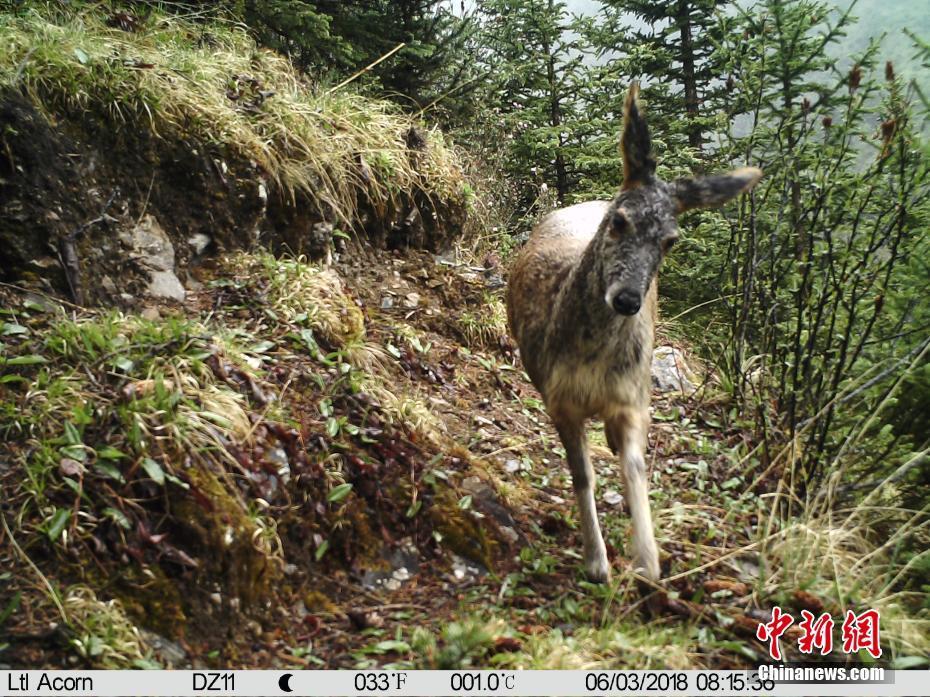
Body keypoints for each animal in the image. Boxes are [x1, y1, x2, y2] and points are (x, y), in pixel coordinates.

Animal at [508, 83, 760, 580]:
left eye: (671, 241)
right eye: (620, 220)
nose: (626, 300)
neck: (591, 362)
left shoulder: (632, 397)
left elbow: (636, 466)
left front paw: (646, 560)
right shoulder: (560, 400)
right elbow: (582, 475)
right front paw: (596, 561)